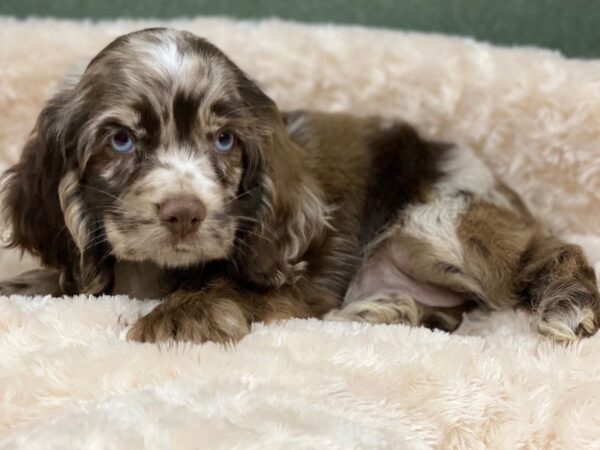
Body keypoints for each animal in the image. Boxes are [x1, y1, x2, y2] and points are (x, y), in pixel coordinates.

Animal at [1, 27, 600, 344]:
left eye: (224, 140)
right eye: (121, 140)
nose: (185, 213)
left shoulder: (291, 280)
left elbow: (232, 284)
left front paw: (178, 316)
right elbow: (63, 280)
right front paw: (24, 285)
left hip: (435, 223)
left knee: (551, 250)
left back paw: (568, 306)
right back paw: (383, 310)